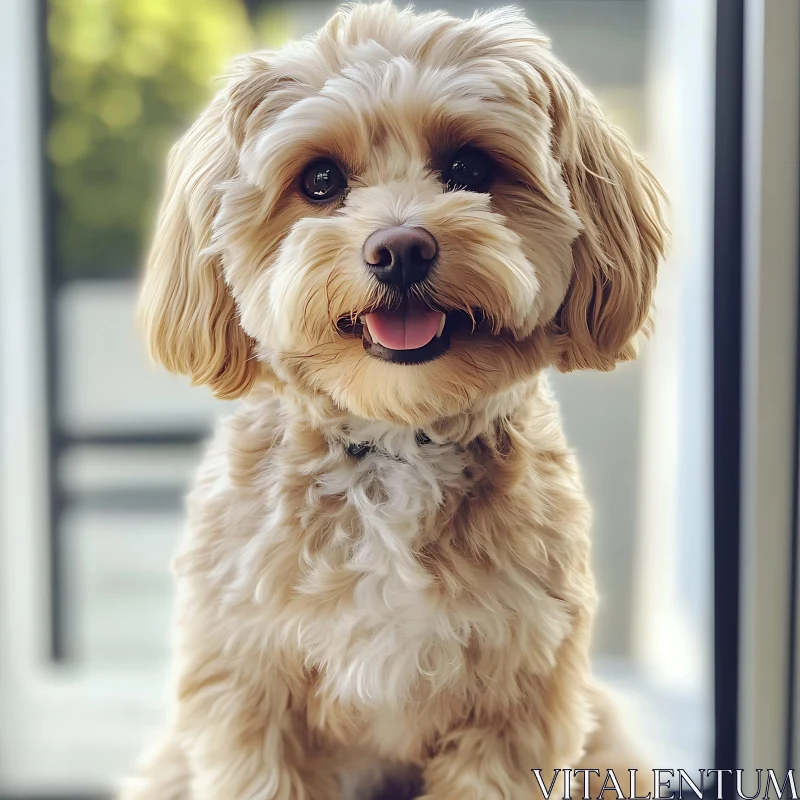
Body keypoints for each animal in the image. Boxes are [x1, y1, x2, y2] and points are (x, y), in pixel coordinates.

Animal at [120, 3, 668, 796]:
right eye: (320, 179)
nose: (401, 248)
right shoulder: (246, 687)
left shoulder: (517, 700)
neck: (395, 443)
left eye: (470, 169)